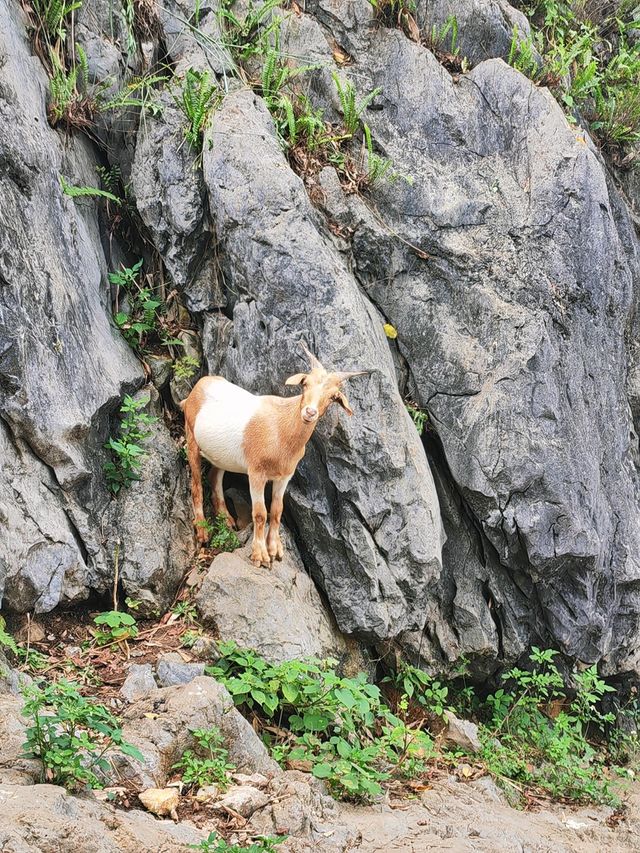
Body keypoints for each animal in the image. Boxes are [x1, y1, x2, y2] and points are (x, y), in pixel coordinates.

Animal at [182, 342, 368, 568]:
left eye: (333, 396)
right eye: (305, 383)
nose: (309, 412)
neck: (280, 429)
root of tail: (200, 385)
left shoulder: (284, 477)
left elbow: (277, 510)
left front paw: (275, 549)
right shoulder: (256, 473)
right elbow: (260, 513)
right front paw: (259, 555)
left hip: (221, 455)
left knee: (214, 476)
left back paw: (226, 519)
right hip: (191, 437)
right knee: (196, 485)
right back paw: (202, 531)